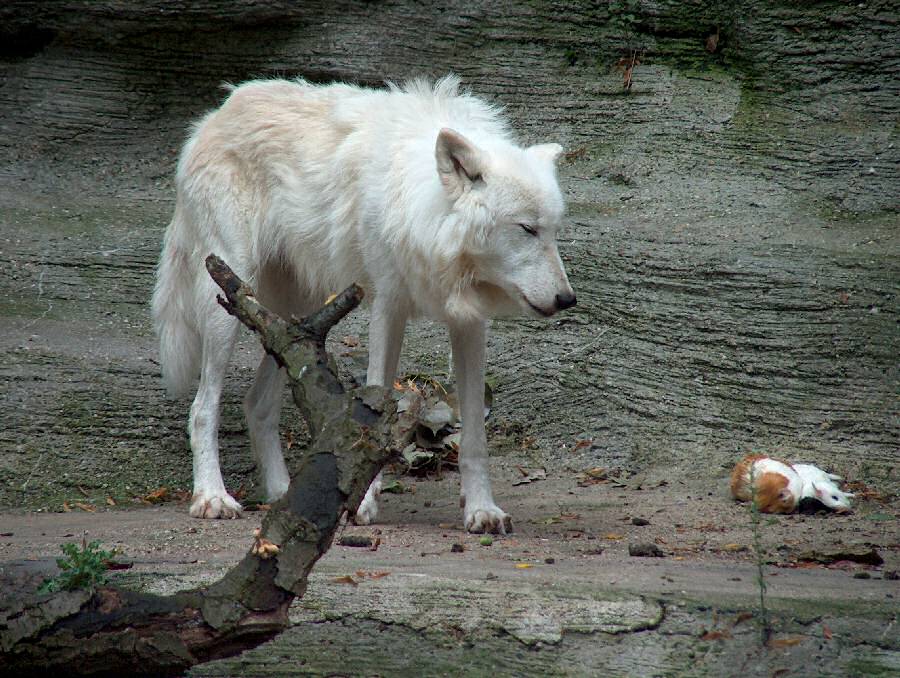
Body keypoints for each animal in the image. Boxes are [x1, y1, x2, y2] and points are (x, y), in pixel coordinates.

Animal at [153, 75, 576, 536]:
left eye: (553, 231)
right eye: (527, 229)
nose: (567, 299)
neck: (425, 208)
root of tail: (214, 116)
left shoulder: (469, 321)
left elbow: (475, 436)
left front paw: (482, 509)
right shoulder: (387, 306)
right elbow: (375, 402)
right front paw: (364, 502)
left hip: (294, 323)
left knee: (257, 404)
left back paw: (283, 494)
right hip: (228, 303)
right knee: (202, 408)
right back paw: (212, 497)